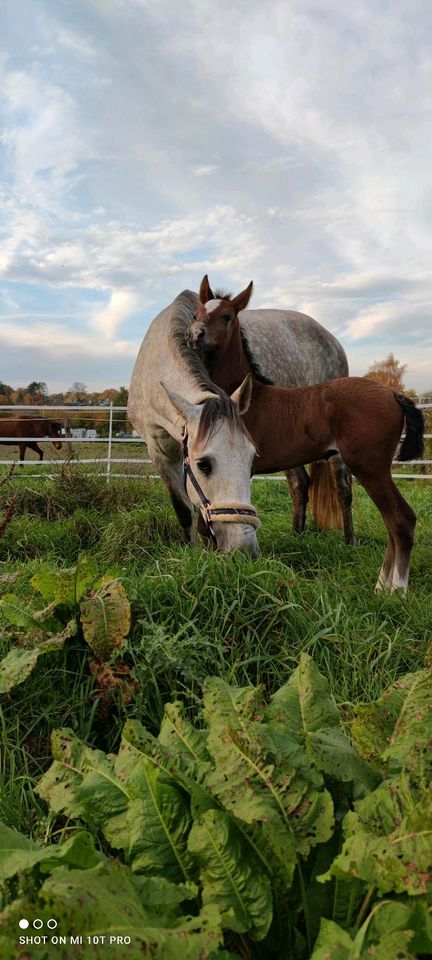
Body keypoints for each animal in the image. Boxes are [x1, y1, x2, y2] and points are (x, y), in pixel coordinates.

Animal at [191, 278, 424, 592]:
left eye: (227, 316)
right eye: (198, 313)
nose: (195, 334)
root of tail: (392, 394)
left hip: (369, 467)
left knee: (400, 519)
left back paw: (393, 591)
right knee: (391, 522)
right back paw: (381, 586)